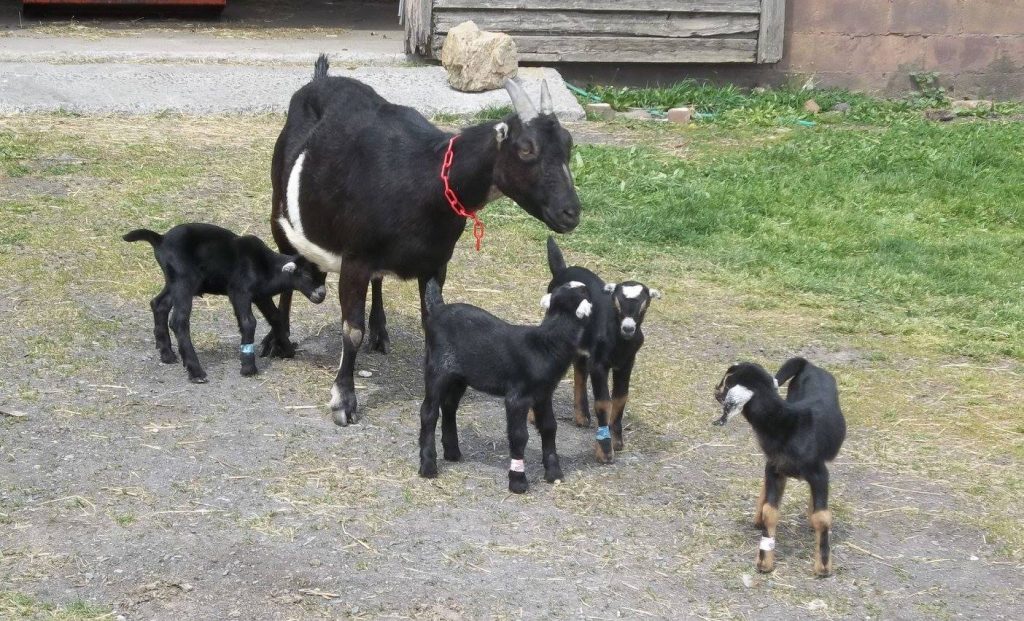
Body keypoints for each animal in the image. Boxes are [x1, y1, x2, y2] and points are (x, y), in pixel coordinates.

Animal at [123, 221, 325, 381]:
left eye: (323, 275)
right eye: (306, 275)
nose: (321, 294)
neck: (266, 266)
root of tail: (161, 239)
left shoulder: (260, 295)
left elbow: (275, 317)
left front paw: (287, 350)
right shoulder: (239, 291)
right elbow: (248, 322)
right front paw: (248, 367)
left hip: (175, 281)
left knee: (159, 304)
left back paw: (167, 354)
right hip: (184, 280)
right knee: (179, 320)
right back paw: (196, 372)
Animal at [268, 55, 581, 428]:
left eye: (568, 143)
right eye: (526, 148)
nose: (570, 213)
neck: (425, 177)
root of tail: (319, 80)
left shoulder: (435, 262)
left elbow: (431, 322)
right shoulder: (356, 258)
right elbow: (351, 330)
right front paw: (343, 401)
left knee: (378, 281)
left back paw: (380, 333)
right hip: (279, 209)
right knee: (287, 261)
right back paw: (278, 341)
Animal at [712, 360, 847, 577]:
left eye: (726, 383)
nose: (716, 390)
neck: (787, 424)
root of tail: (809, 364)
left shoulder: (819, 473)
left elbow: (822, 517)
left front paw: (823, 566)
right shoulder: (774, 469)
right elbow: (770, 511)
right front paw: (764, 560)